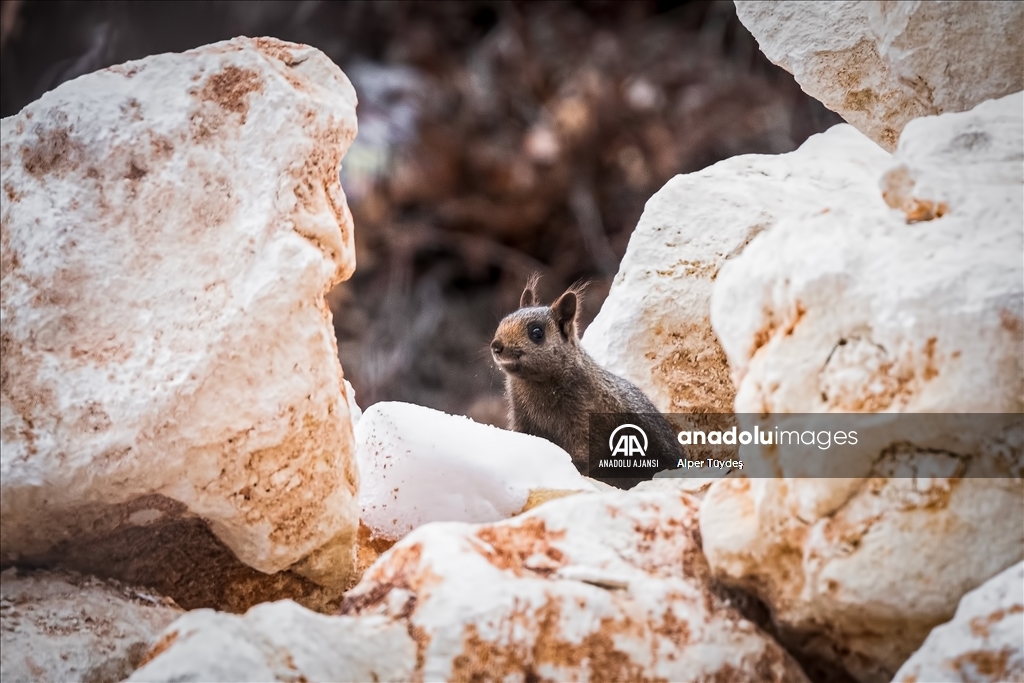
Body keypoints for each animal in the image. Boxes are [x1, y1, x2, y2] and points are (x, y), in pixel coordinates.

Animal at [489, 274, 679, 489]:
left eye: (536, 332)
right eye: (503, 322)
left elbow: (582, 454)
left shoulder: (584, 420)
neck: (534, 384)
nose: (496, 346)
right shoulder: (522, 418)